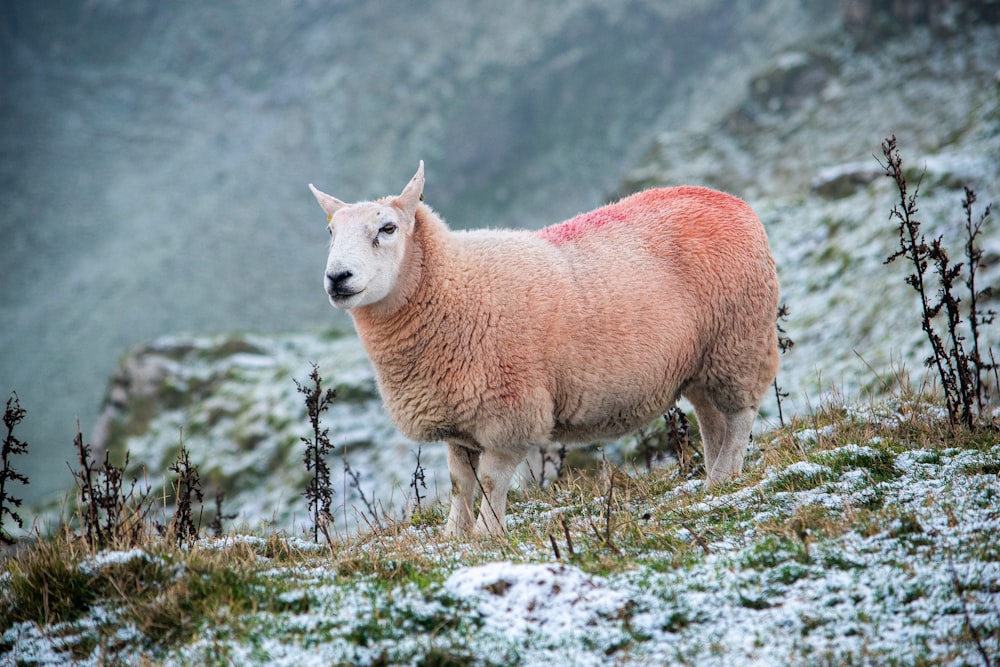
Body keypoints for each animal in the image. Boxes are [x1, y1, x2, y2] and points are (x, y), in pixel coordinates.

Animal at [308, 162, 776, 536]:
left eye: (387, 229)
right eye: (330, 231)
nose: (337, 278)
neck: (453, 285)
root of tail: (729, 200)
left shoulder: (509, 412)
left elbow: (492, 481)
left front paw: (488, 534)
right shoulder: (457, 416)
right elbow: (460, 481)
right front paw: (454, 534)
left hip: (740, 342)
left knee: (739, 416)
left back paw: (724, 477)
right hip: (700, 360)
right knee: (711, 420)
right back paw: (716, 477)